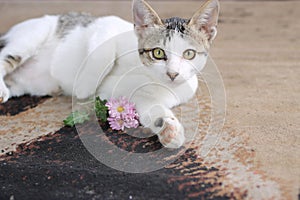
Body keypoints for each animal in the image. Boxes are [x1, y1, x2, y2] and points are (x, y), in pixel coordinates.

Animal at [0, 0, 220, 148]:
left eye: (189, 54)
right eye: (158, 53)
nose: (173, 74)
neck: (147, 74)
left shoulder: (147, 98)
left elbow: (155, 111)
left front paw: (170, 131)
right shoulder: (106, 25)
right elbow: (103, 54)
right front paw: (84, 86)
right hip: (30, 37)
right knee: (4, 58)